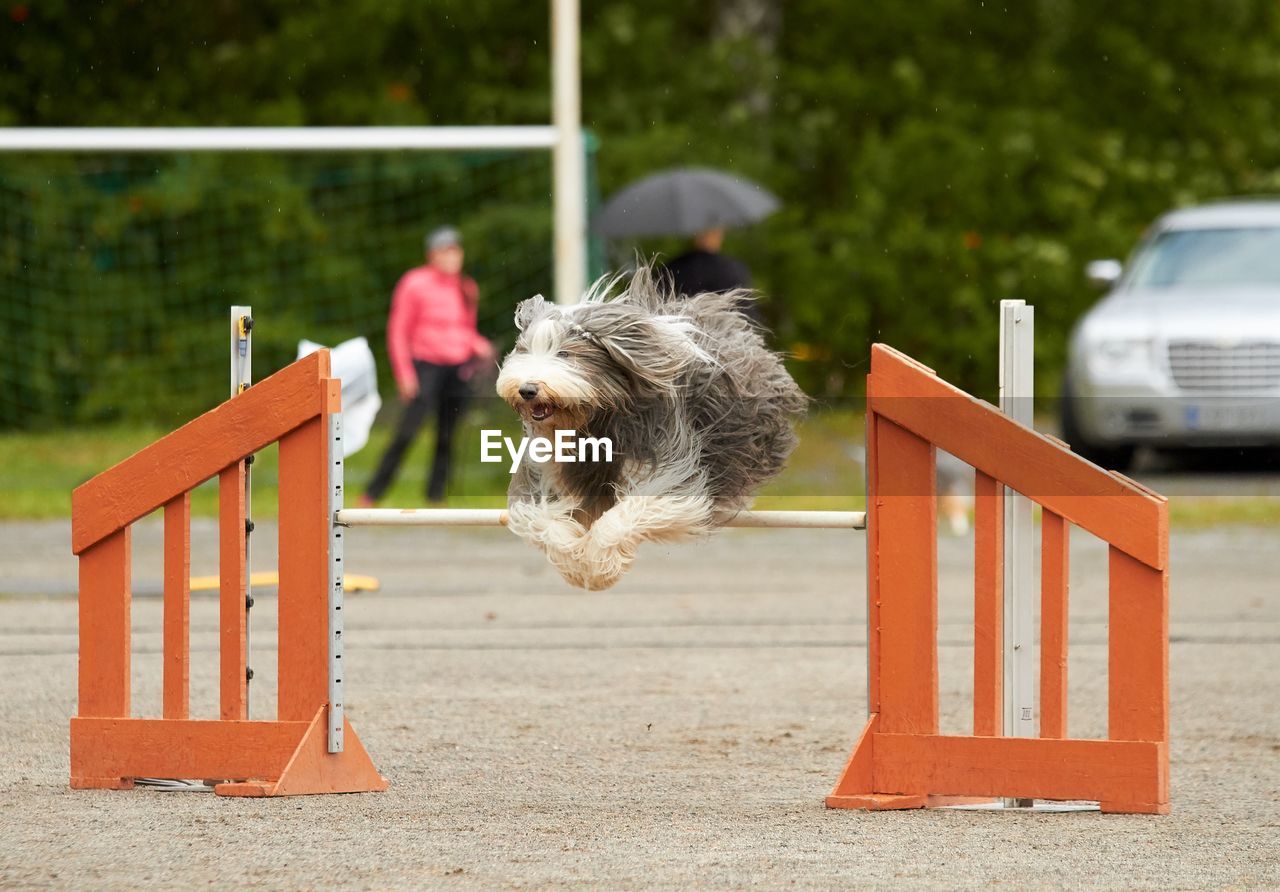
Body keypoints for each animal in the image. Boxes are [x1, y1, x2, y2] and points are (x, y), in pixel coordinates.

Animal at [494, 271, 803, 591]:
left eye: (565, 353)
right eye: (524, 350)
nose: (527, 389)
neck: (598, 418)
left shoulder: (671, 453)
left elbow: (636, 509)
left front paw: (600, 565)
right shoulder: (546, 468)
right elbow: (535, 515)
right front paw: (575, 563)